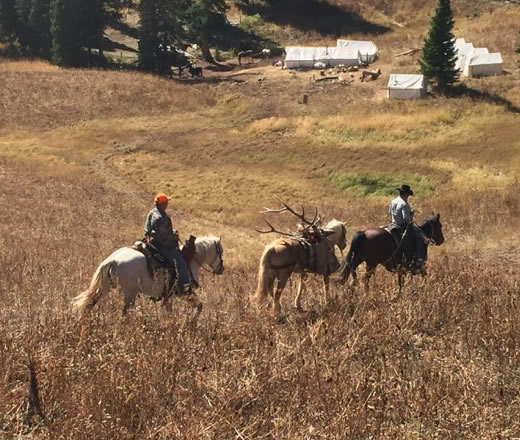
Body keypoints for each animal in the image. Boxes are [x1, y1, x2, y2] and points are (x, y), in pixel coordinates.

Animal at [71, 235, 223, 322]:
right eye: (220, 252)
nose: (221, 269)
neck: (189, 260)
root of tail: (113, 260)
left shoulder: (169, 297)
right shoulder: (184, 293)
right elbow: (199, 306)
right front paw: (191, 323)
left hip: (106, 287)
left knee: (91, 302)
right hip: (130, 294)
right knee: (124, 313)